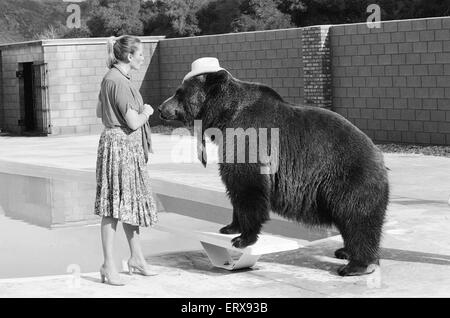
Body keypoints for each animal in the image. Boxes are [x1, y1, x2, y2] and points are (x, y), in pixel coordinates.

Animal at [159, 69, 390, 276]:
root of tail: (378, 155)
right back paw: (344, 251)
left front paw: (243, 238)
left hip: (349, 178)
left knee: (358, 219)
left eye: (179, 92)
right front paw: (229, 227)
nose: (161, 108)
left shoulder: (249, 138)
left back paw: (355, 266)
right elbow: (235, 190)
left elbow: (248, 187)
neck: (225, 115)